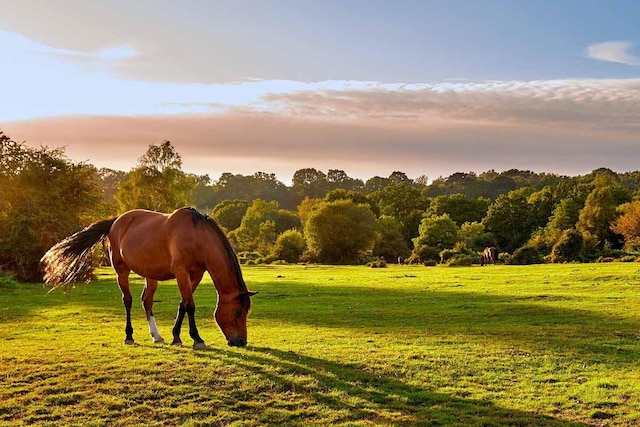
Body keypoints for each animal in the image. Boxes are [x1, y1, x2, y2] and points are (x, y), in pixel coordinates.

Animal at [40, 206, 258, 348]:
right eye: (238, 311)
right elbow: (190, 305)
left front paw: (176, 337)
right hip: (121, 271)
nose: (240, 341)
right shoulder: (181, 272)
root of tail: (116, 221)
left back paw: (156, 336)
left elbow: (183, 304)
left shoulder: (195, 274)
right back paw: (129, 336)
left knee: (147, 301)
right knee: (128, 300)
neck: (196, 237)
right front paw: (197, 339)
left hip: (150, 275)